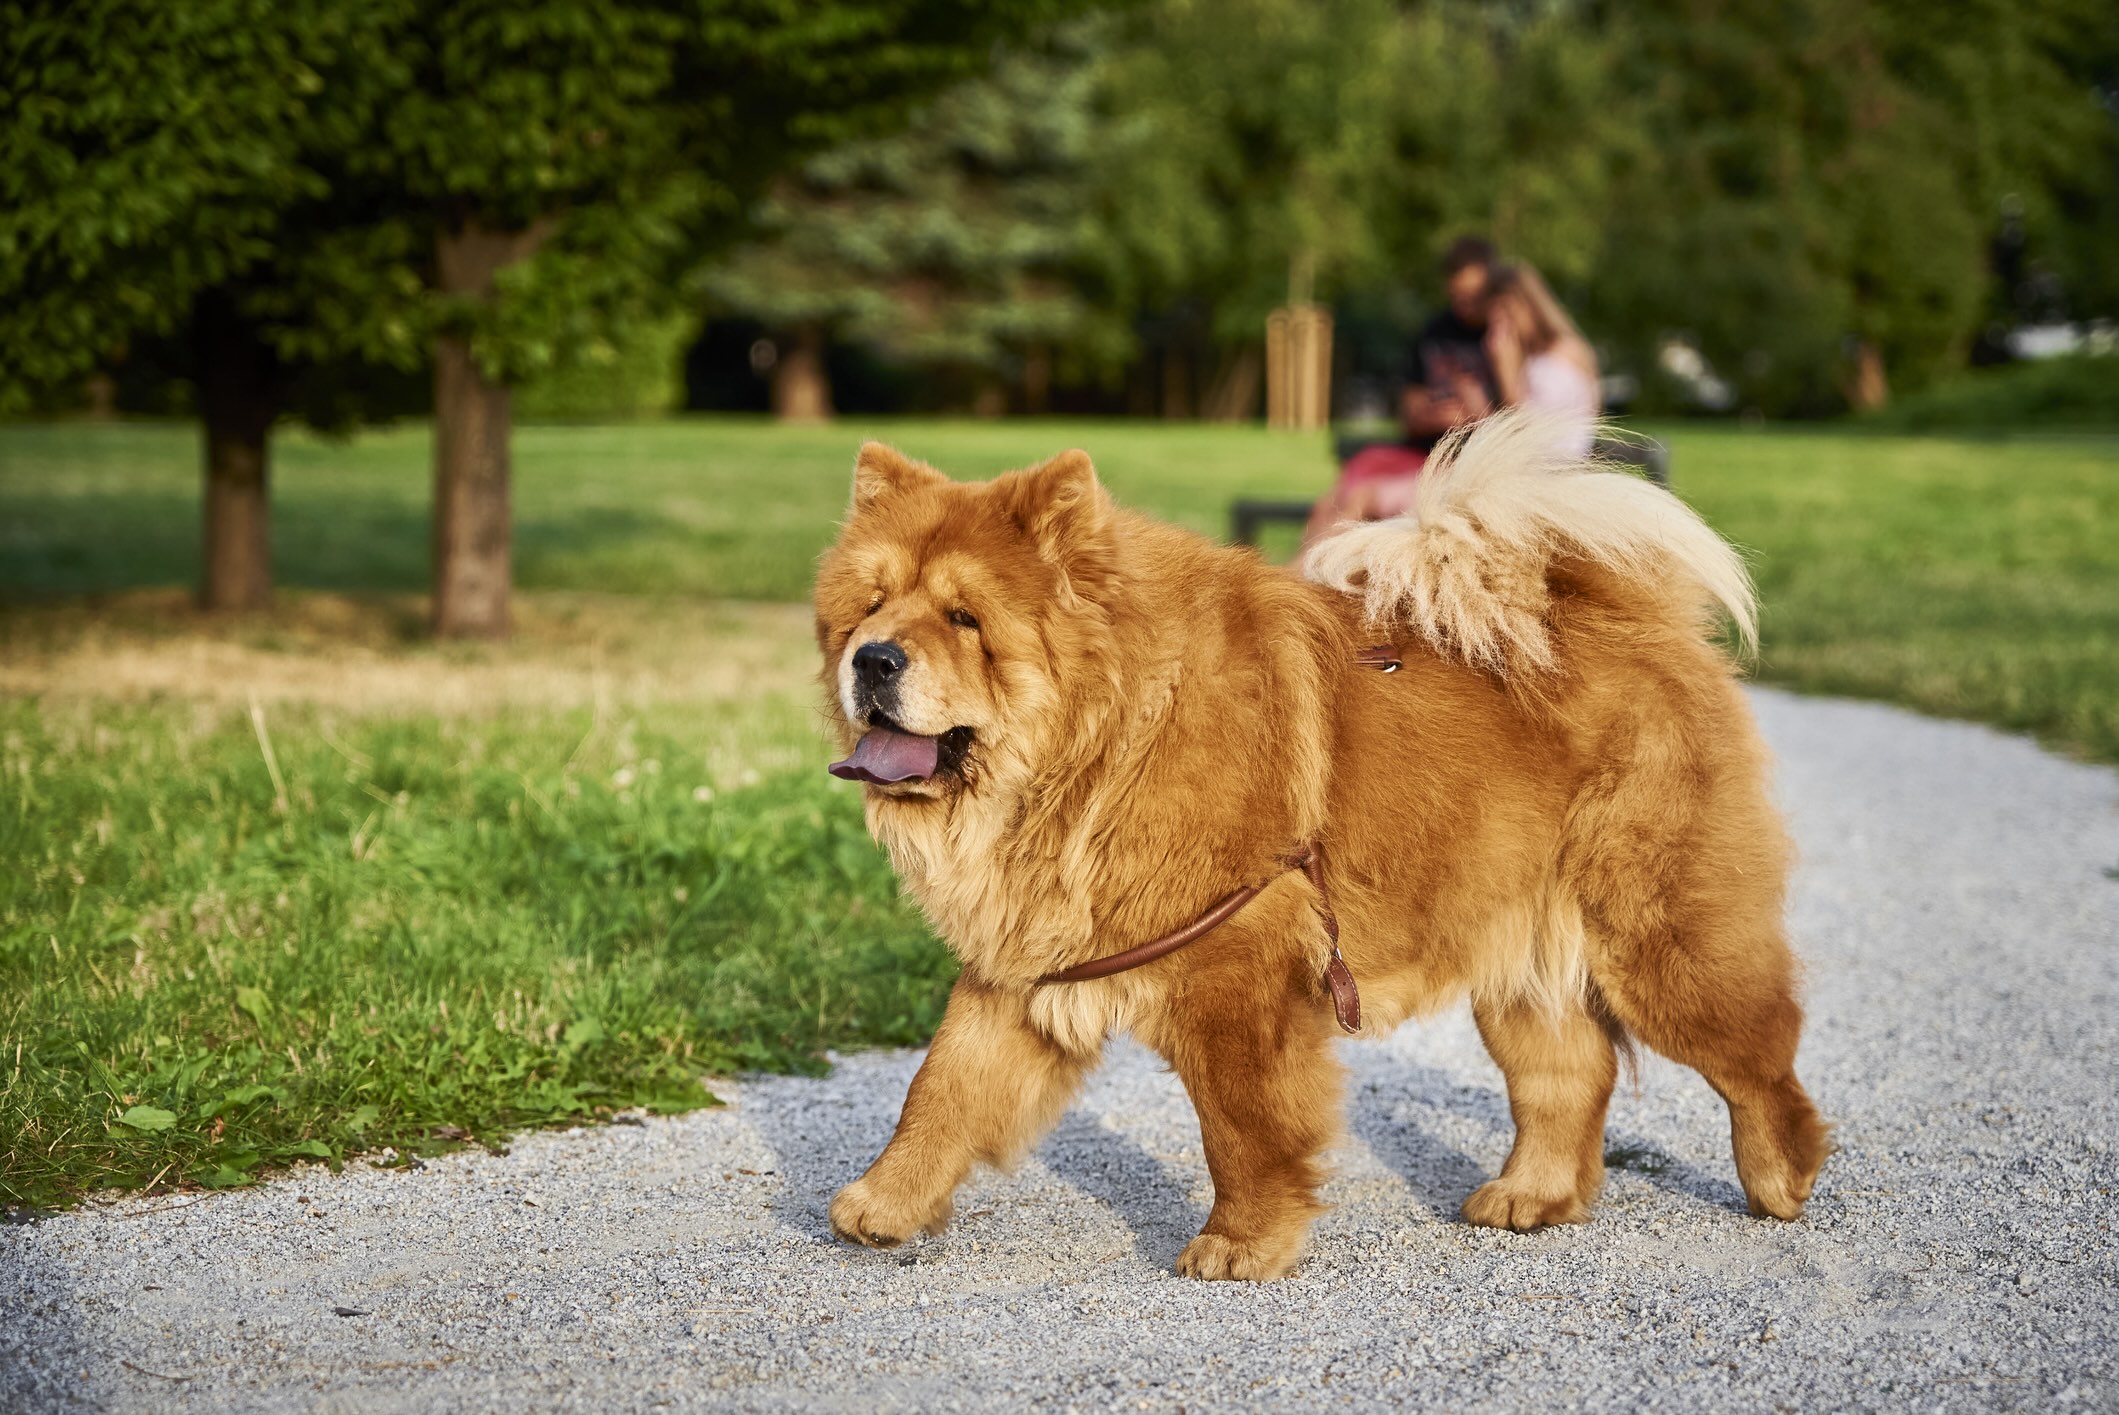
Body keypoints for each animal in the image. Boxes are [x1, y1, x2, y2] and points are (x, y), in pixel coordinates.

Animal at [805, 415, 1822, 1287]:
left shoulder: (1235, 967)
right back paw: (1527, 1197)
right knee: (1568, 1074)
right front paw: (880, 1205)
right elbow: (941, 1088)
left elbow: (1241, 1126)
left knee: (1756, 1057)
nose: (874, 658)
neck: (1100, 746)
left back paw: (1782, 1178)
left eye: (964, 618)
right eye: (870, 606)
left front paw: (1238, 1245)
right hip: (1516, 956)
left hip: (1661, 942)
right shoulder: (1025, 963)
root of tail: (1633, 620)